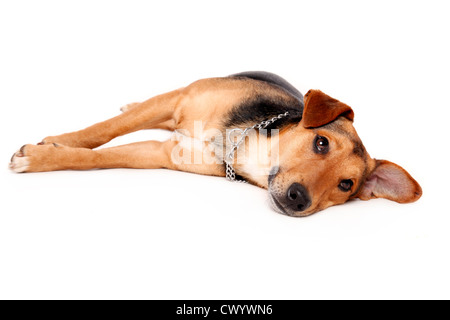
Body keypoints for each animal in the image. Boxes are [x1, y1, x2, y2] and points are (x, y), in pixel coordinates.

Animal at [11, 72, 426, 218]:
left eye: (346, 185)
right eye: (321, 143)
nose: (299, 199)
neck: (245, 143)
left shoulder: (164, 152)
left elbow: (98, 159)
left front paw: (44, 156)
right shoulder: (178, 101)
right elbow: (103, 130)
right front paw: (56, 142)